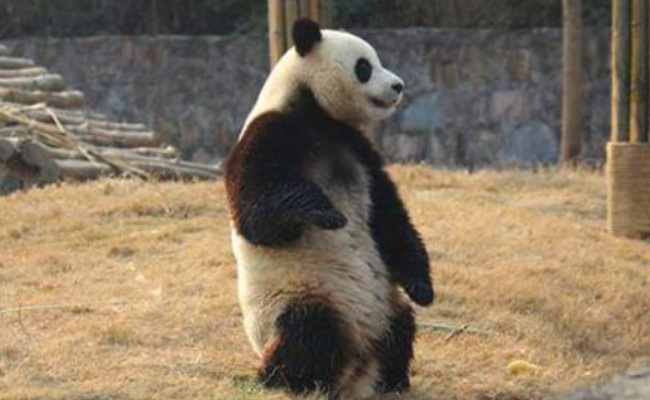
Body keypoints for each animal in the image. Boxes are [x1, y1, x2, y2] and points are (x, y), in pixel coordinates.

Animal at [225, 18, 434, 399]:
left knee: (401, 326)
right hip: (305, 294)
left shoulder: (357, 149)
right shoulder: (269, 134)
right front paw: (326, 212)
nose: (398, 85)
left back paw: (393, 378)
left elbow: (389, 215)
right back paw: (283, 378)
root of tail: (357, 368)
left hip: (384, 303)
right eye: (364, 67)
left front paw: (422, 287)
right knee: (310, 333)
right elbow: (256, 214)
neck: (317, 116)